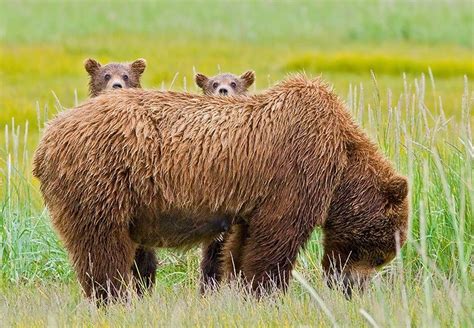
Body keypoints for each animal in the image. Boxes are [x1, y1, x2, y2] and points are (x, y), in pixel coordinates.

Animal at [32, 74, 408, 302]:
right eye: (382, 253)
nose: (352, 289)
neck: (341, 164)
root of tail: (46, 138)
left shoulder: (252, 202)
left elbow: (243, 245)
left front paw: (242, 288)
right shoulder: (295, 171)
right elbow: (277, 237)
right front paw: (268, 292)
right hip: (102, 180)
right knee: (102, 246)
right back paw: (112, 296)